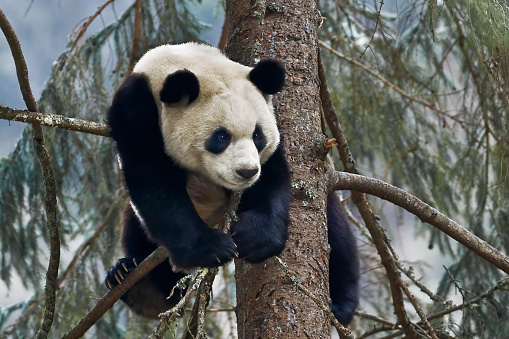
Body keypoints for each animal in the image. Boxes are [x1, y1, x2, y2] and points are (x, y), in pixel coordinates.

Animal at [103, 43, 360, 326]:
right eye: (221, 137)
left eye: (257, 135)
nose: (246, 171)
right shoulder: (134, 111)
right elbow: (153, 184)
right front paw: (212, 249)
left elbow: (273, 177)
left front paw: (255, 236)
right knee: (137, 232)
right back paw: (135, 282)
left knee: (338, 239)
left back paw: (340, 304)